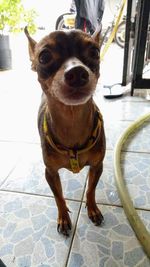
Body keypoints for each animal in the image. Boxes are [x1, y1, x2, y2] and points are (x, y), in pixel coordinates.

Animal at [24, 26, 105, 237]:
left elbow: (91, 189)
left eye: (95, 52)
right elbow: (58, 196)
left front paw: (92, 209)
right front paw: (63, 218)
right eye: (44, 57)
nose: (77, 72)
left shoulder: (97, 166)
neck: (72, 120)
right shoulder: (50, 173)